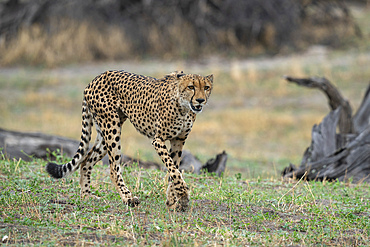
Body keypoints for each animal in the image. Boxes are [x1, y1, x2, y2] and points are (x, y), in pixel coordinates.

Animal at [45, 69, 214, 210]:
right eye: (191, 87)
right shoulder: (158, 140)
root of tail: (96, 78)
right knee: (113, 168)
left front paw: (173, 200)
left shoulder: (178, 140)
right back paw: (128, 198)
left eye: (206, 87)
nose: (200, 100)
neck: (184, 106)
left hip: (105, 133)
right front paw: (183, 195)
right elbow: (174, 170)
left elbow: (174, 170)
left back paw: (86, 195)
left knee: (86, 161)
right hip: (111, 128)